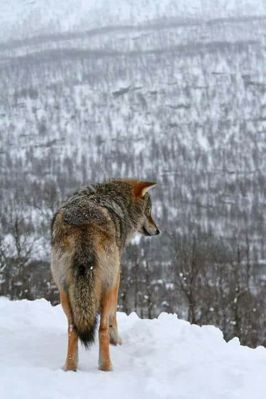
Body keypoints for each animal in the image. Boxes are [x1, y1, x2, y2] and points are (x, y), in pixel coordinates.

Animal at [51, 178, 160, 372]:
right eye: (148, 212)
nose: (158, 230)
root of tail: (84, 222)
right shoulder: (117, 279)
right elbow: (112, 316)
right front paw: (116, 340)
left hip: (65, 290)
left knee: (73, 328)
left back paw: (70, 367)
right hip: (107, 286)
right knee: (101, 329)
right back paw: (106, 367)